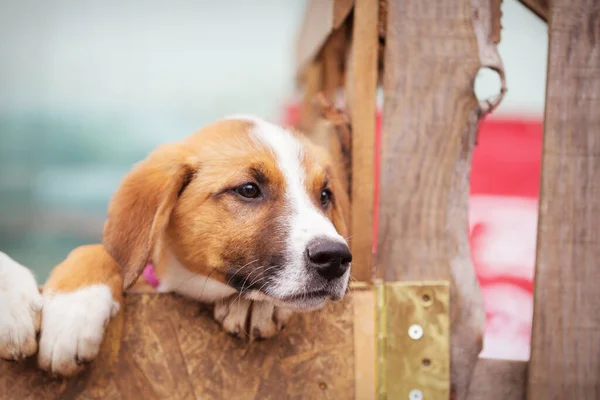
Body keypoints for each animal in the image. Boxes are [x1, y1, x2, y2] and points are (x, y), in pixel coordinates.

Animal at [0, 115, 352, 376]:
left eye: (325, 195)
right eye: (249, 189)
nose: (336, 258)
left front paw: (255, 306)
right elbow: (99, 251)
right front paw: (71, 312)